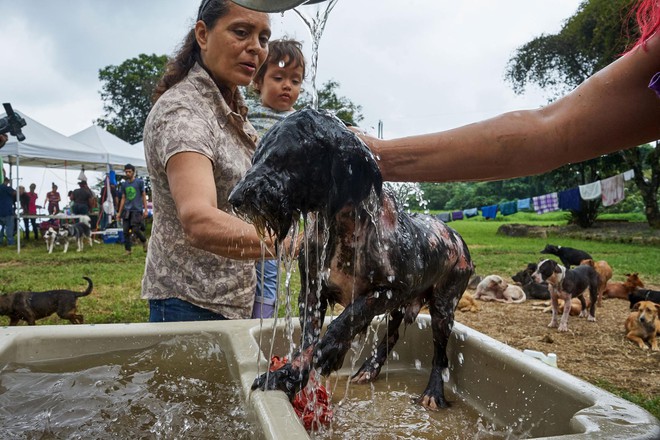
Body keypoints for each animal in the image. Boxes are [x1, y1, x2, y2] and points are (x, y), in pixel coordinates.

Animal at [229, 108, 472, 410]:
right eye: (256, 156)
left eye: (281, 155)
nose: (234, 198)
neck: (341, 228)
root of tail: (455, 234)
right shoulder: (312, 291)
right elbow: (309, 341)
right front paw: (290, 375)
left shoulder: (390, 290)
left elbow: (346, 320)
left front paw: (326, 354)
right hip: (402, 307)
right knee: (391, 335)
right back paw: (369, 368)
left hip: (443, 307)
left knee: (440, 353)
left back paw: (433, 392)